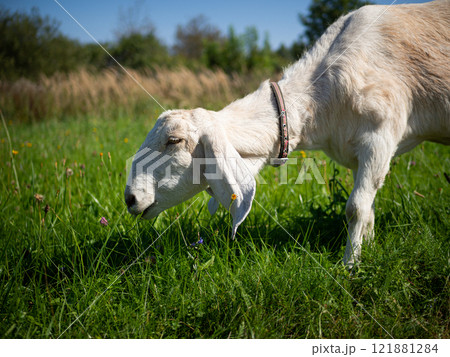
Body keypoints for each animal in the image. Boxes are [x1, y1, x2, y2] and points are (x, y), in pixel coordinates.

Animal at [125, 0, 450, 266]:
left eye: (174, 141)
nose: (130, 198)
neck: (321, 98)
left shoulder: (378, 137)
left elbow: (356, 208)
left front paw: (350, 266)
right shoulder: (359, 153)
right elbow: (368, 209)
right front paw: (367, 248)